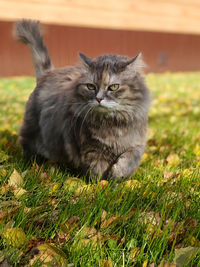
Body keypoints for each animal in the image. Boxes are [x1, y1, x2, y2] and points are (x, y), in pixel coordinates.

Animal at [14, 19, 150, 181]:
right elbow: (97, 171)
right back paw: (31, 164)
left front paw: (116, 178)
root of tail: (48, 73)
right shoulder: (91, 149)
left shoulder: (136, 145)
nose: (99, 98)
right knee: (27, 146)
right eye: (91, 86)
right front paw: (99, 184)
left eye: (113, 87)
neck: (113, 125)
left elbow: (128, 162)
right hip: (33, 131)